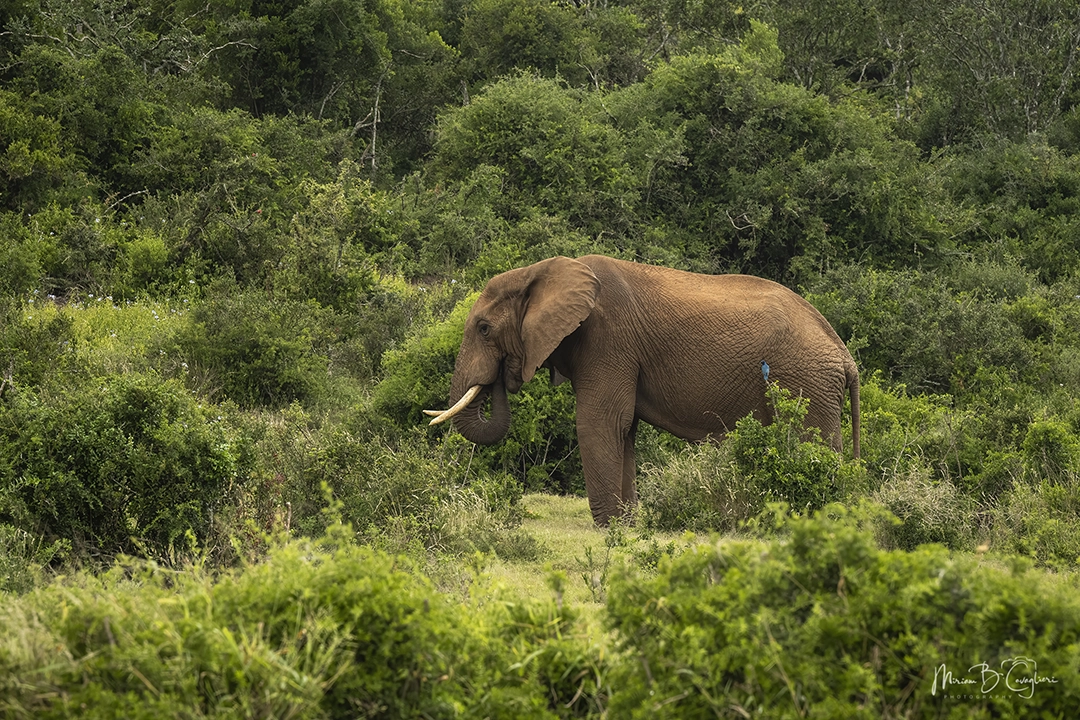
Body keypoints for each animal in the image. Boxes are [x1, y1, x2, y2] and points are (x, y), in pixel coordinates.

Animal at [426, 255, 860, 526]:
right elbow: (626, 430)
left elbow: (600, 423)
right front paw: (629, 523)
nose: (504, 374)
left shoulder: (608, 340)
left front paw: (610, 527)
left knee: (812, 442)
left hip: (807, 380)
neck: (543, 270)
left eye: (484, 329)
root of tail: (844, 354)